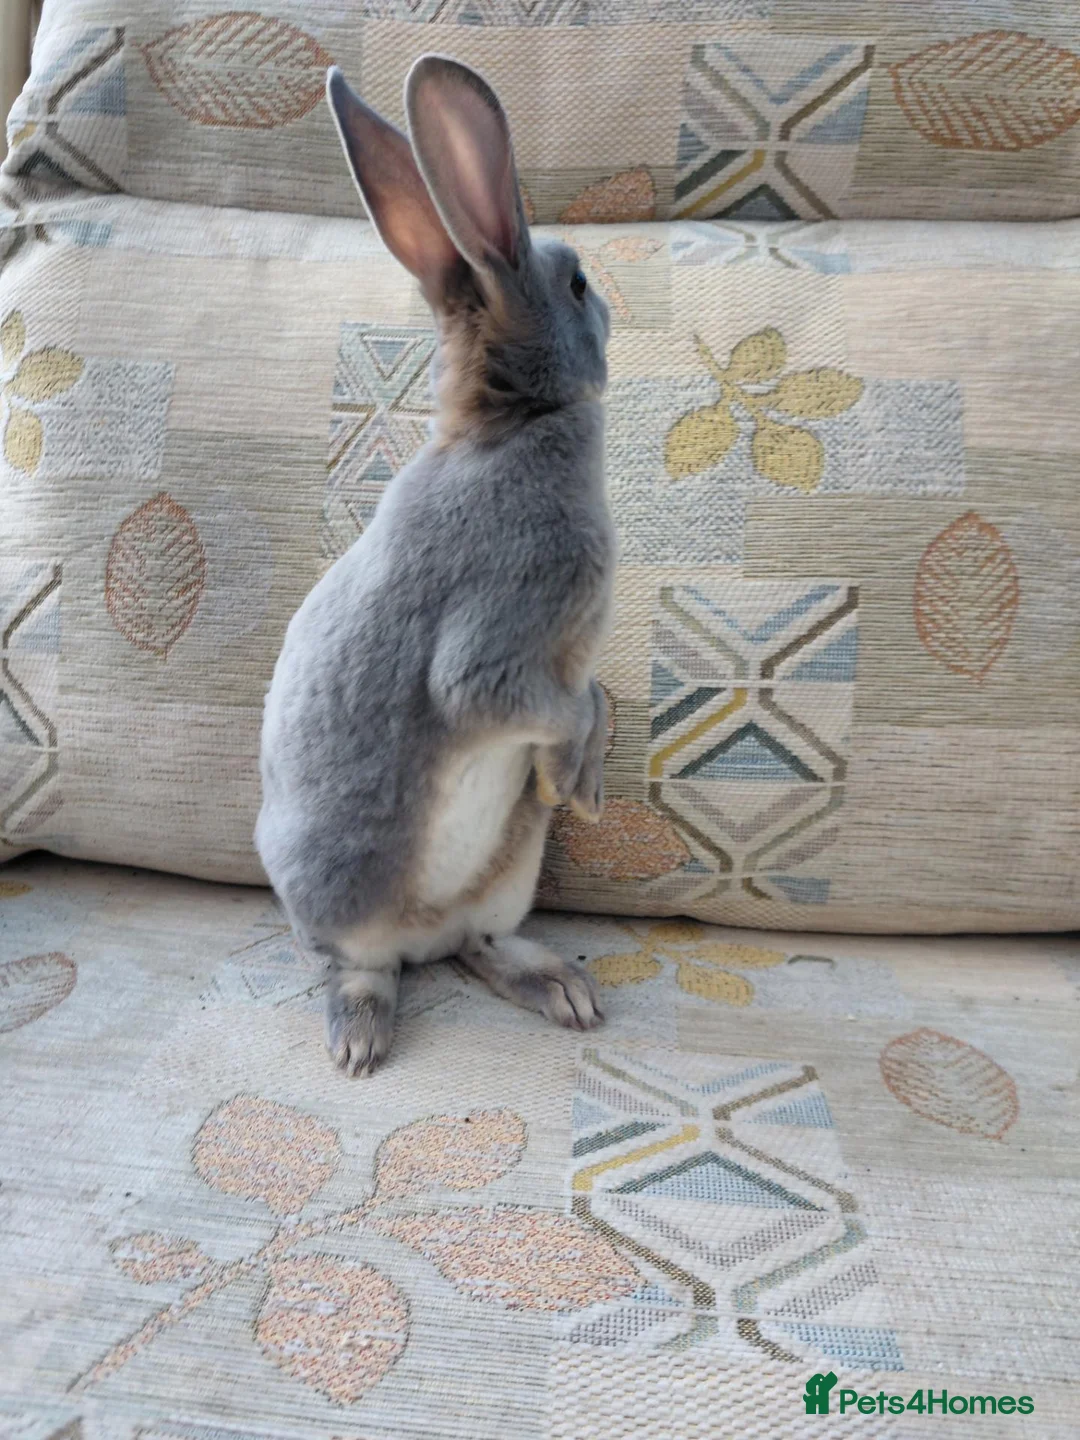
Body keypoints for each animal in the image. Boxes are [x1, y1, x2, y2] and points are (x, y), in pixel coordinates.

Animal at [255, 55, 615, 1076]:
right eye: (578, 284)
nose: (611, 308)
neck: (510, 429)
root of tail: (421, 934)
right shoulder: (501, 644)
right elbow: (535, 700)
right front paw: (575, 776)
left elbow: (588, 697)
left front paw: (575, 787)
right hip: (346, 908)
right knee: (365, 970)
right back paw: (360, 1039)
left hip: (504, 881)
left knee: (480, 946)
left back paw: (563, 991)